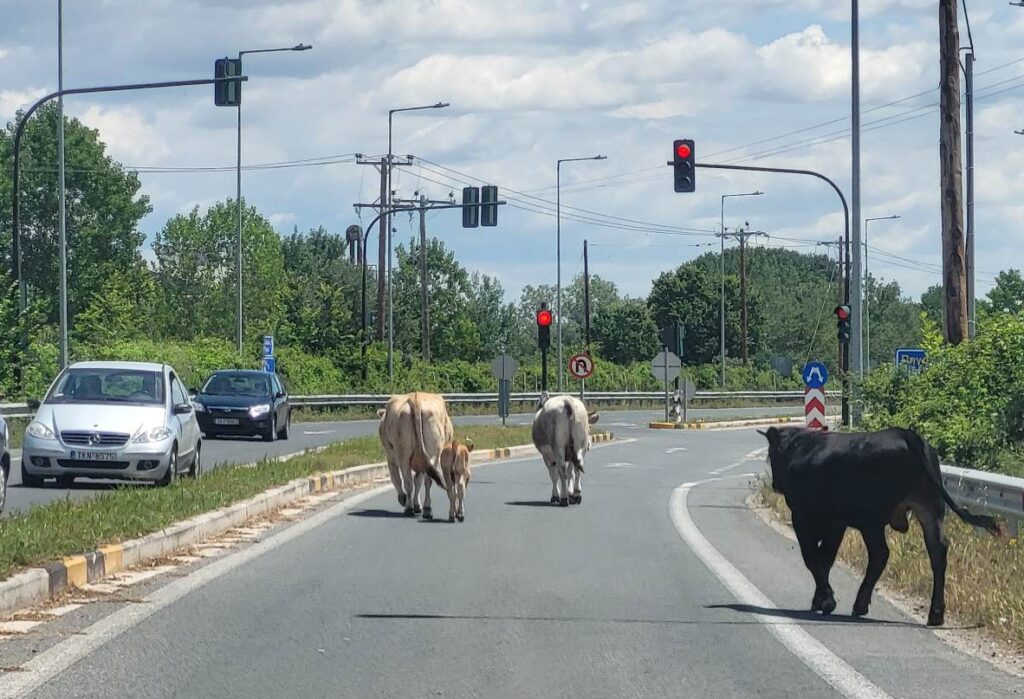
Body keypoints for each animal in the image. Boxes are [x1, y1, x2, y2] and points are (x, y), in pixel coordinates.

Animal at [761, 425, 999, 630]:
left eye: (771, 455)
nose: (774, 484)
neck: (800, 448)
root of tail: (905, 434)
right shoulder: (836, 524)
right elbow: (825, 560)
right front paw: (820, 599)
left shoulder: (804, 518)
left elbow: (813, 559)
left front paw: (826, 600)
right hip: (929, 509)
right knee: (937, 552)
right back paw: (935, 614)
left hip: (872, 521)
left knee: (880, 554)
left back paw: (860, 604)